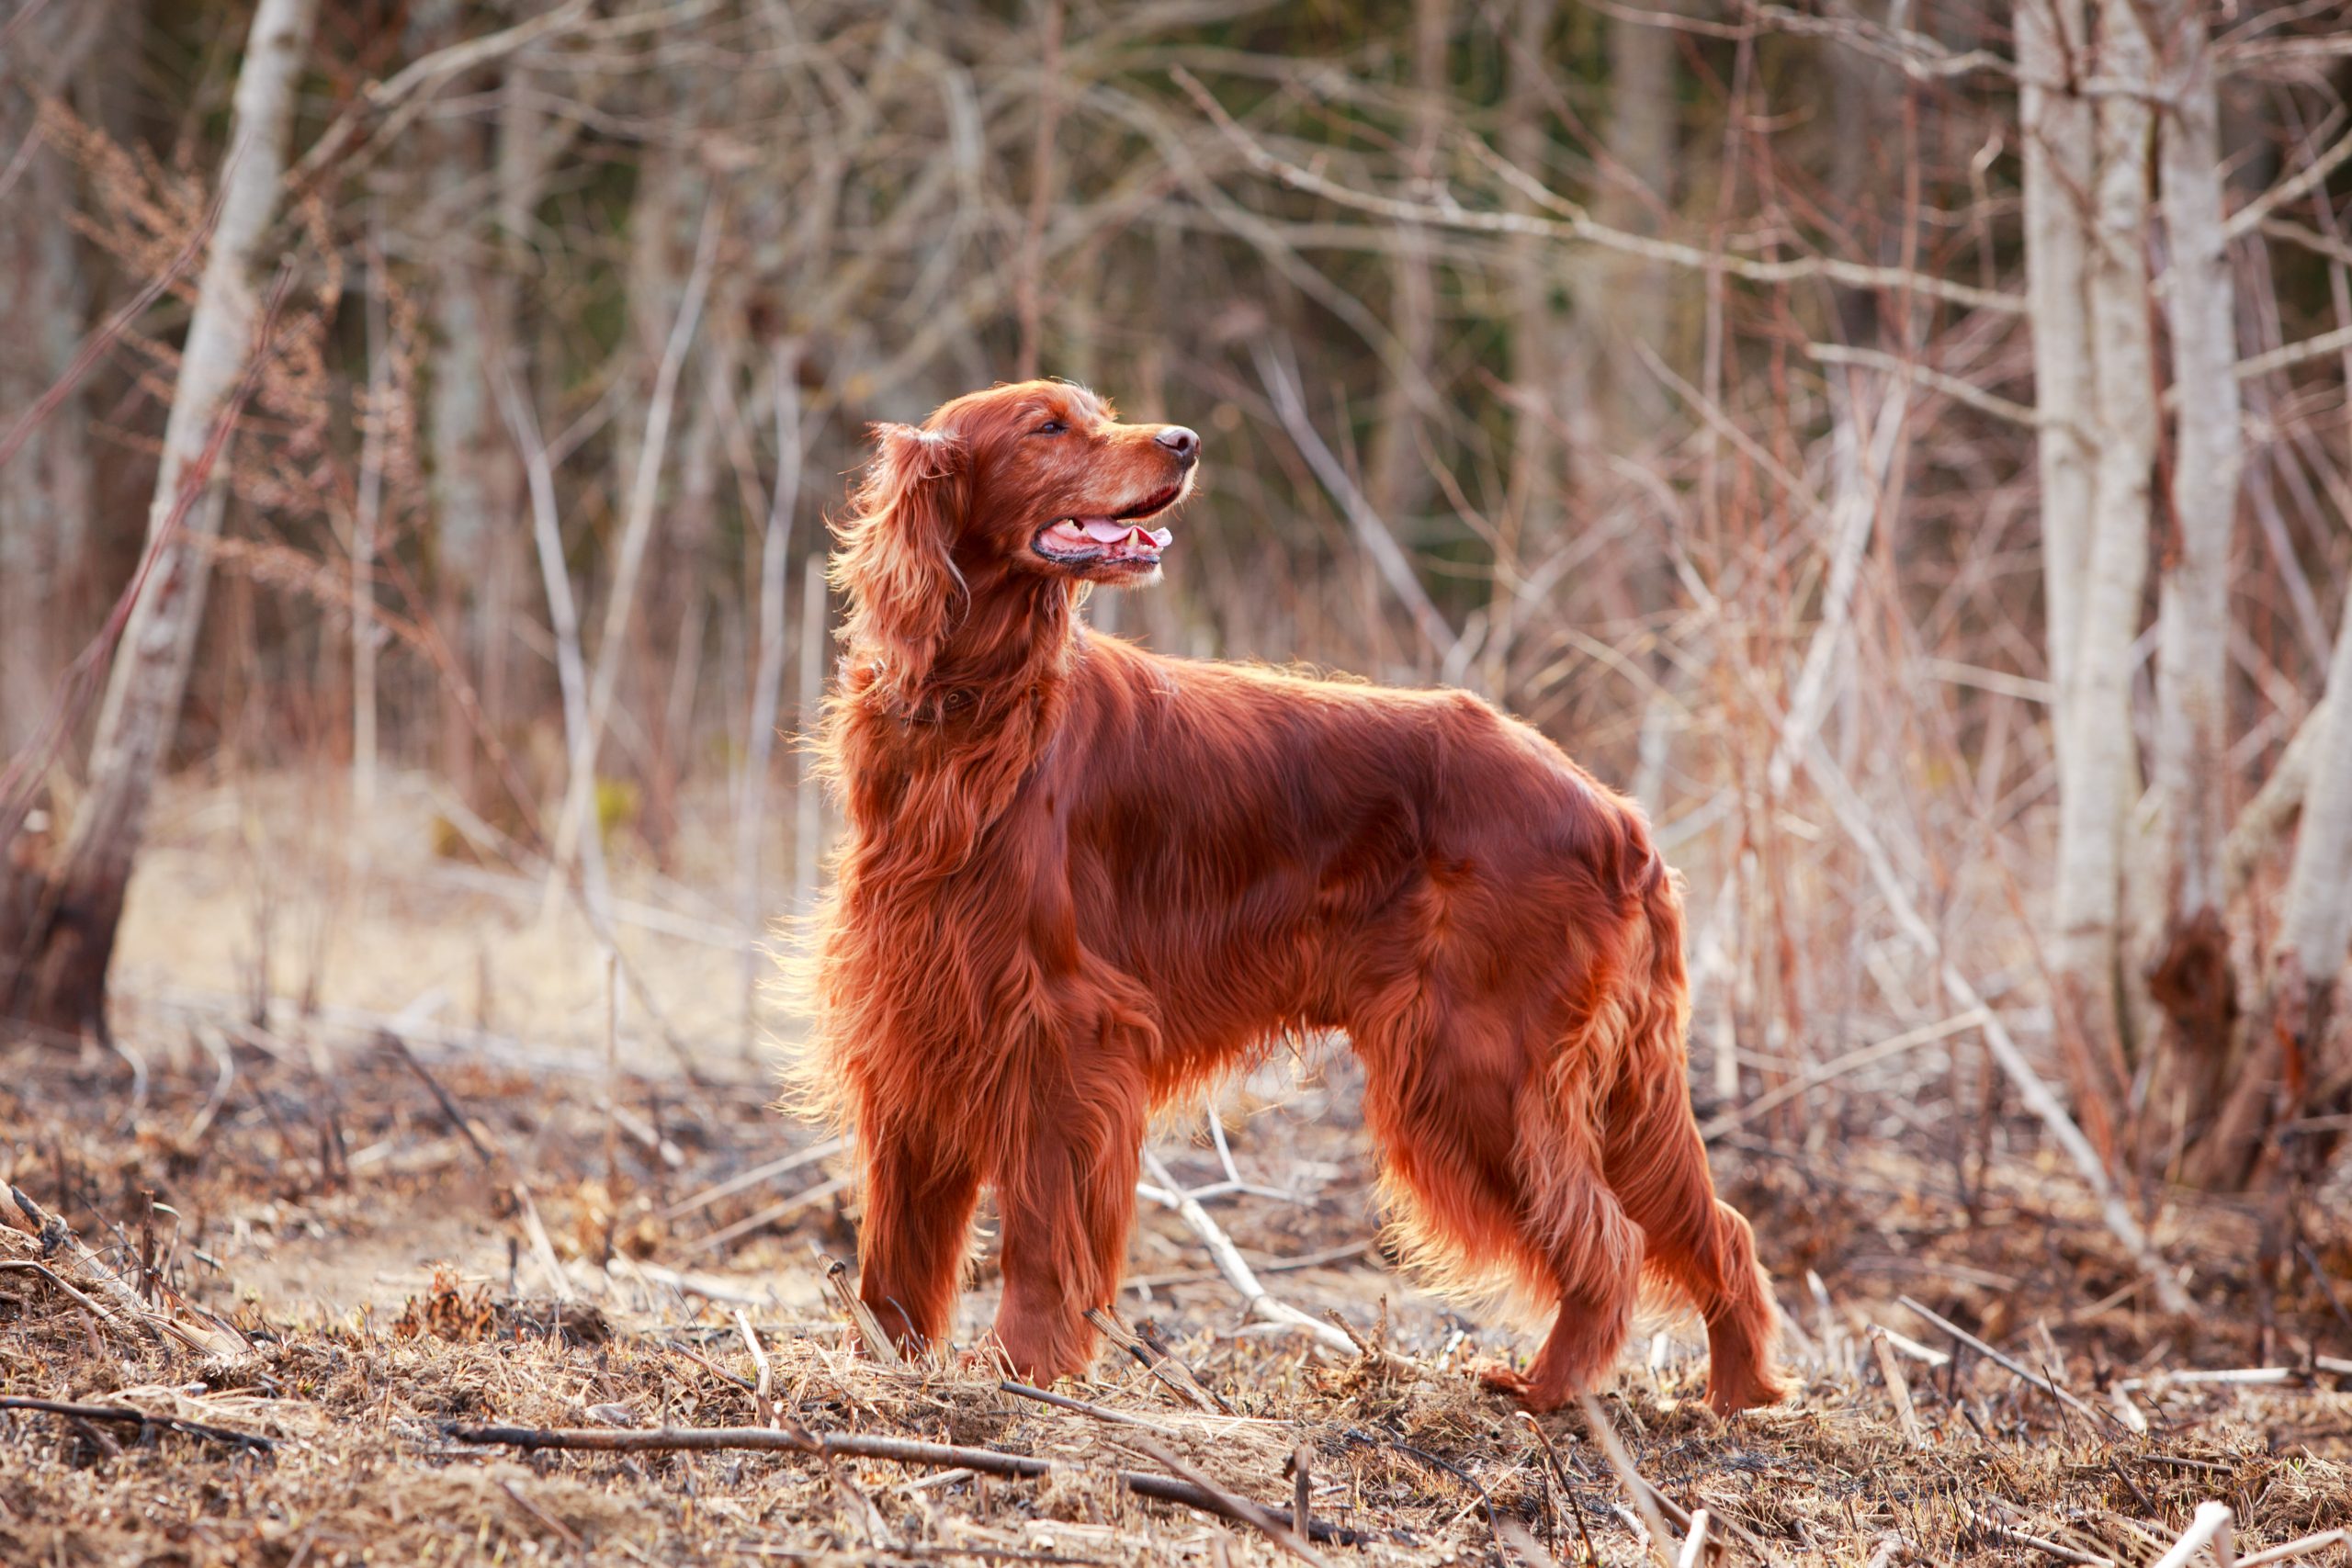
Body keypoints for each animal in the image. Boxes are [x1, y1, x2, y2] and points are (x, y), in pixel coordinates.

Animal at [799, 373, 1787, 1419]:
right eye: (1047, 427)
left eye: (1088, 412)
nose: (1184, 440)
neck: (976, 711)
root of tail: (1614, 813)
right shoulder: (913, 1012)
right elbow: (895, 1244)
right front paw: (883, 1361)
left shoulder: (1063, 1032)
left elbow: (1040, 1233)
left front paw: (1026, 1371)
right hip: (1588, 1082)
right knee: (1719, 1229)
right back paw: (1740, 1392)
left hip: (1478, 1065)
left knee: (1610, 1240)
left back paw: (1544, 1388)